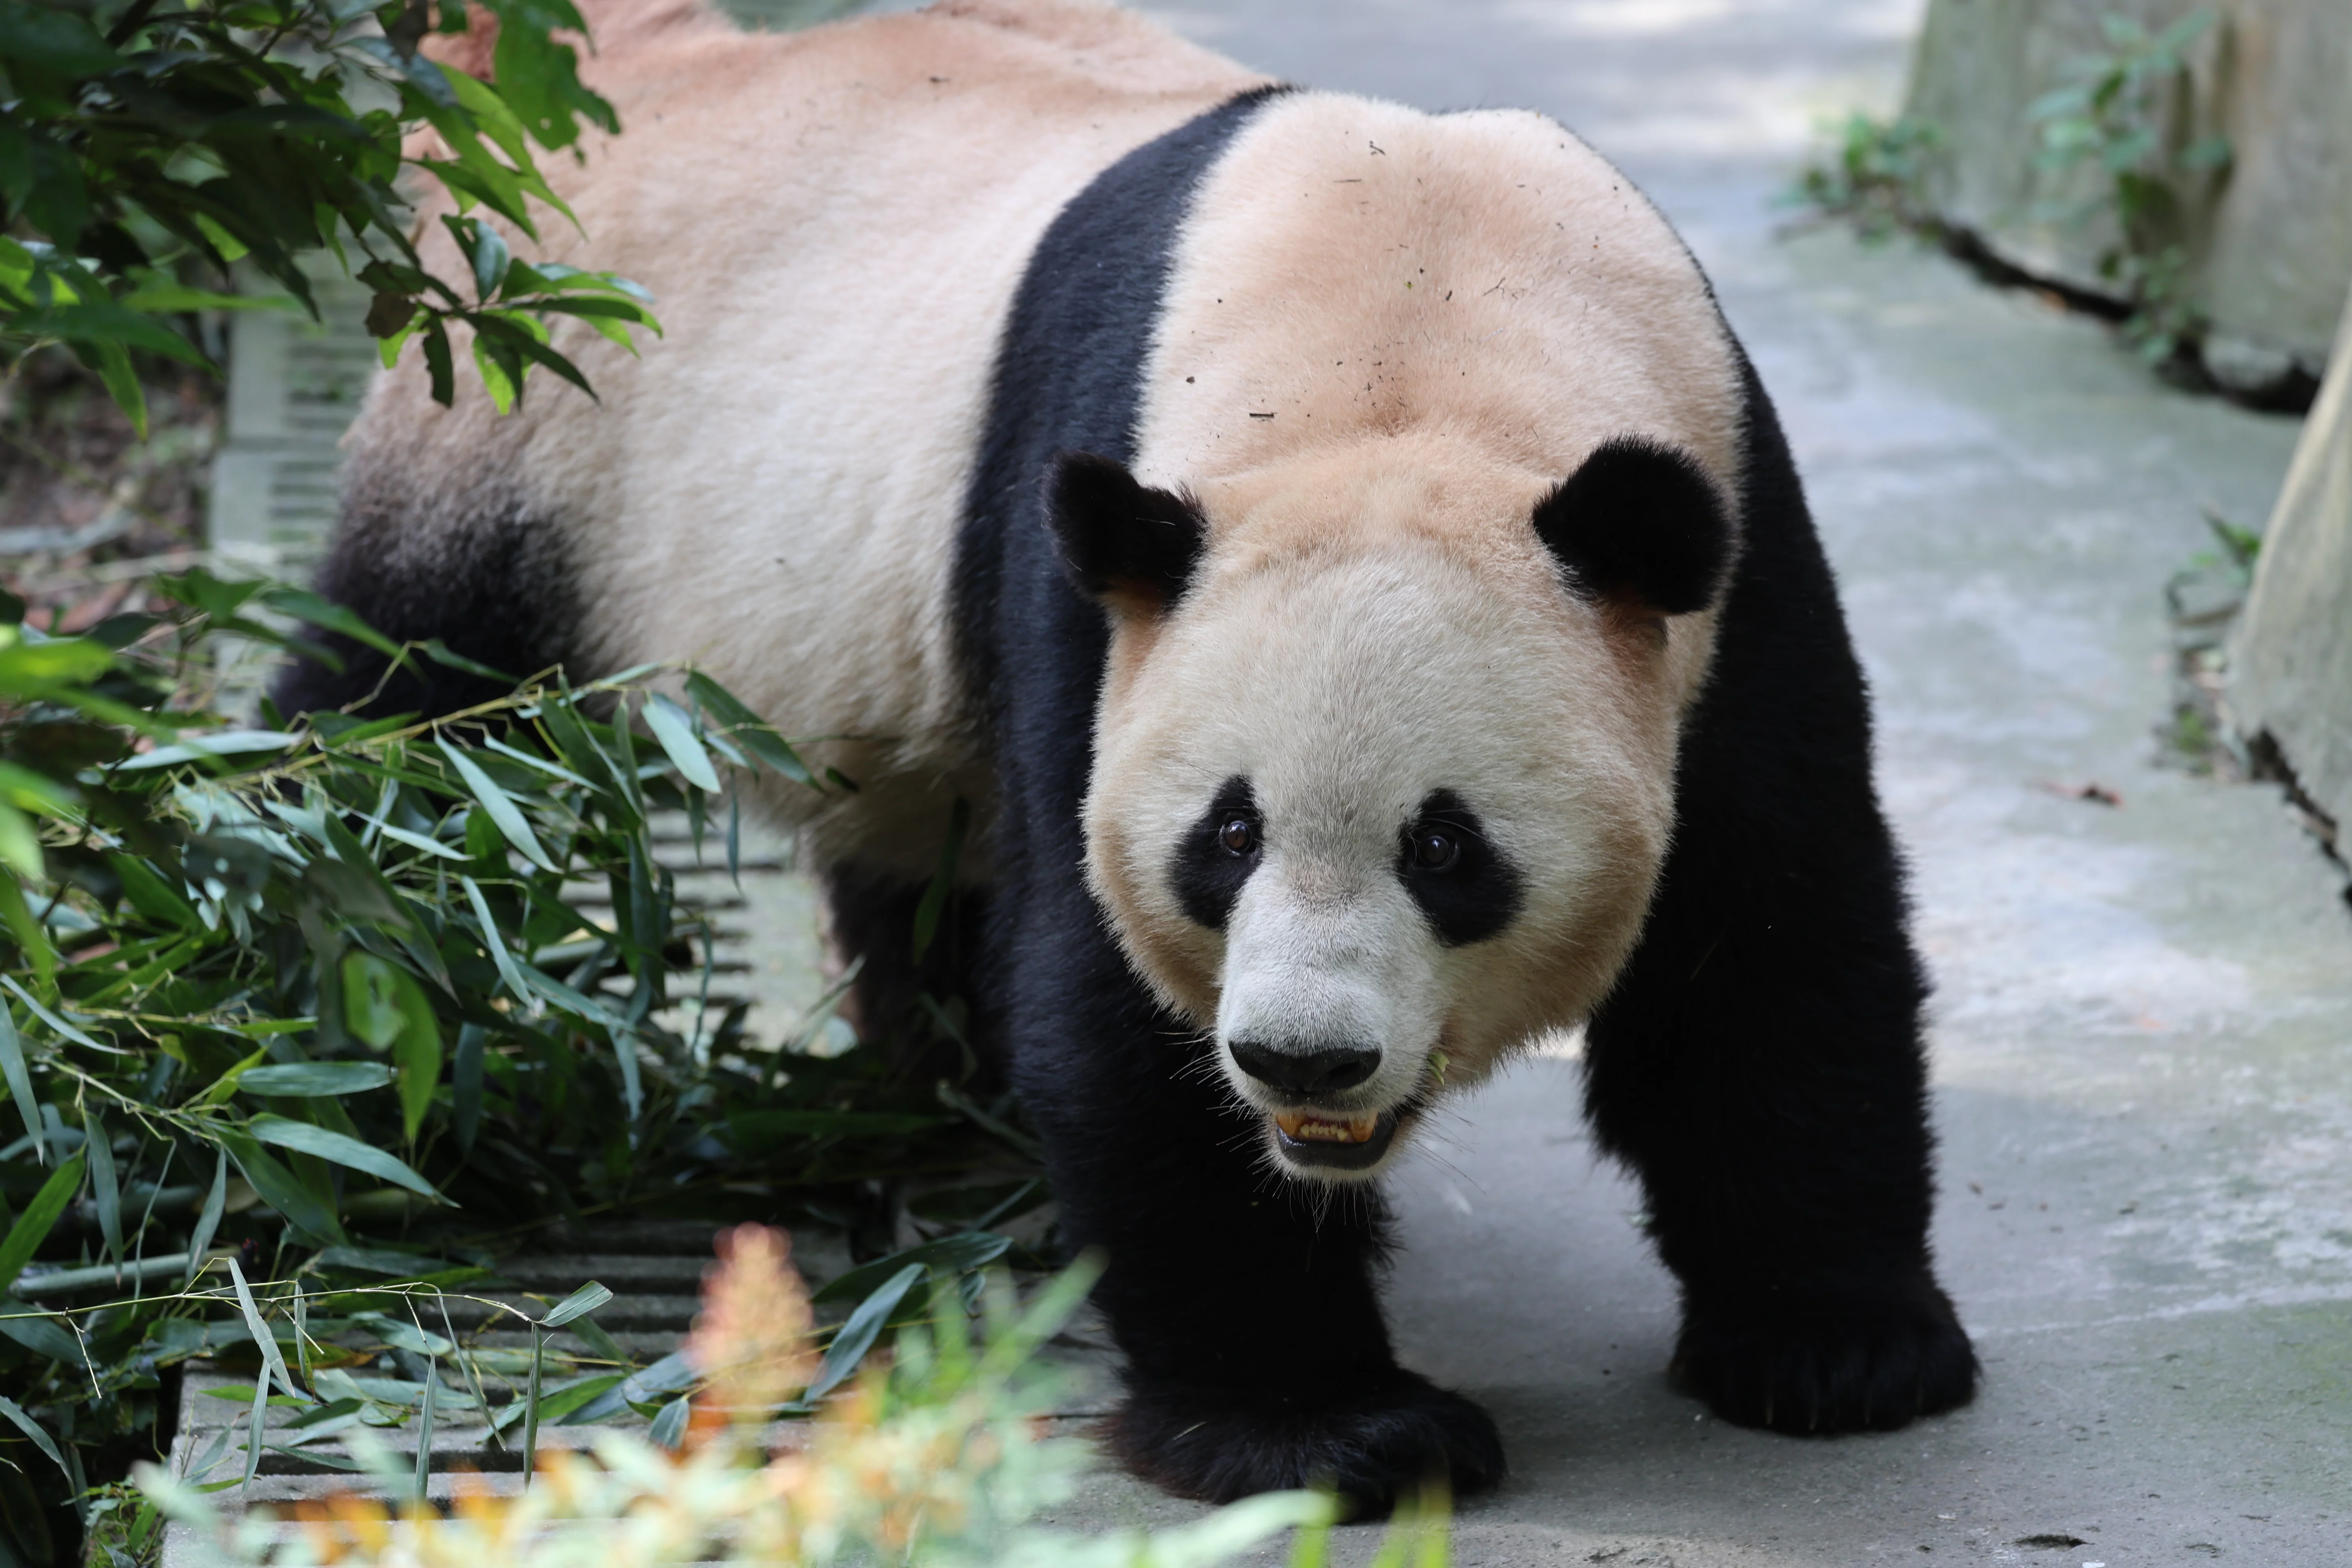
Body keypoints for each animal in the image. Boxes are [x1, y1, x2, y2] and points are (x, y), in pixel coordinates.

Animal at [279, 0, 1979, 1510]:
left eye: (1448, 847)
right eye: (1225, 837)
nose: (1304, 1061)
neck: (1415, 322)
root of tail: (624, 67)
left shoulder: (1728, 558)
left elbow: (1771, 937)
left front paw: (1836, 1349)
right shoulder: (1099, 592)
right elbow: (1108, 1004)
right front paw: (1333, 1432)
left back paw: (944, 1101)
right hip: (520, 433)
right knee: (396, 724)